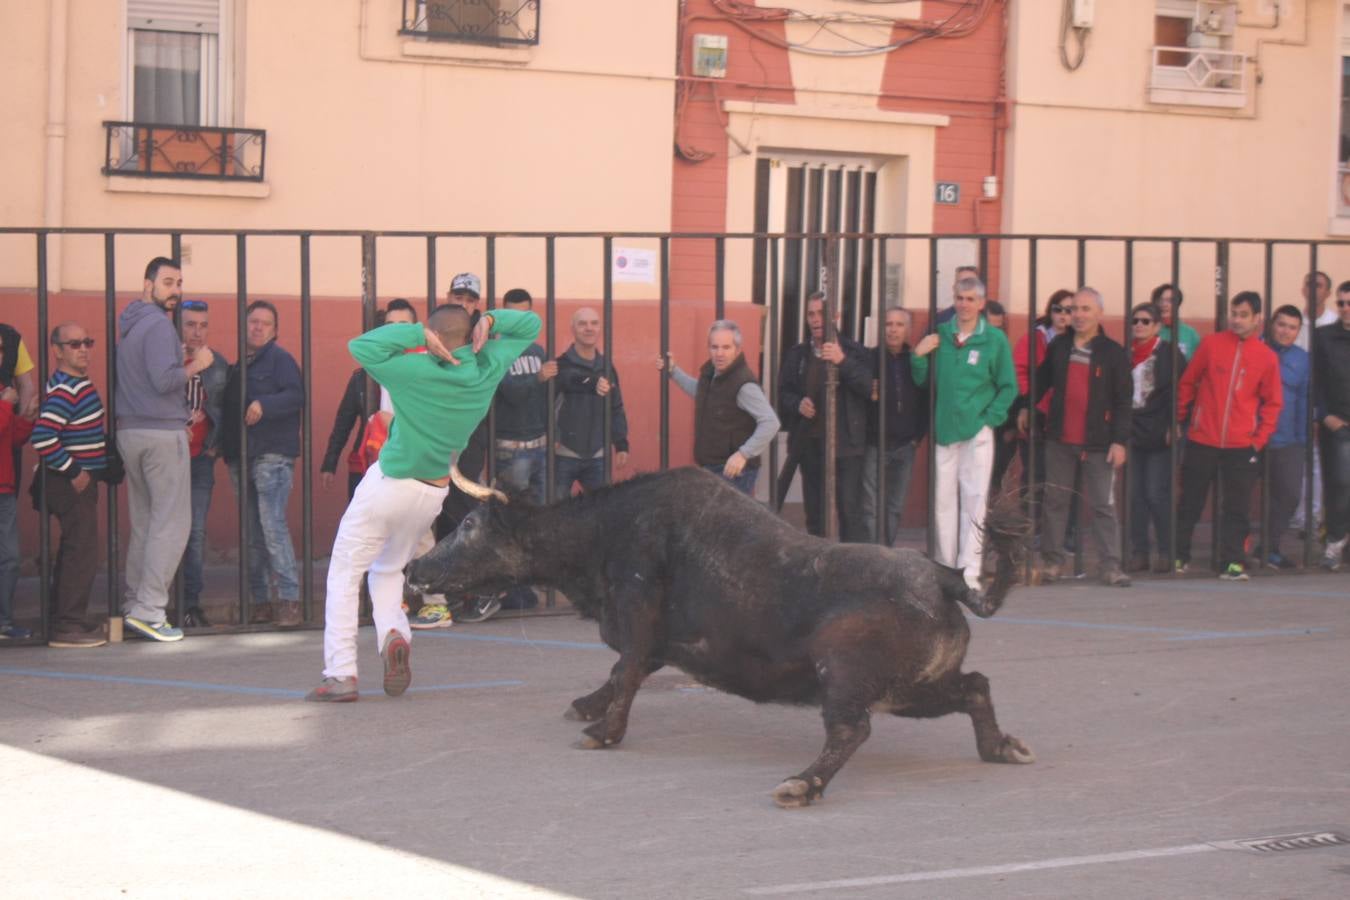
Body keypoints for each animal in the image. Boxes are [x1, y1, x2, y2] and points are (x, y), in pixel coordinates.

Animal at [402, 469, 1031, 804]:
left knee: (852, 729)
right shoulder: (660, 641)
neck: (606, 530)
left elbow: (625, 671)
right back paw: (1002, 747)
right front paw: (586, 707)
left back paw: (801, 784)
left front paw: (602, 732)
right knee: (976, 685)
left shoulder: (637, 617)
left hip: (848, 677)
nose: (413, 570)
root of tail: (943, 577)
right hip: (912, 690)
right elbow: (623, 672)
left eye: (468, 524)